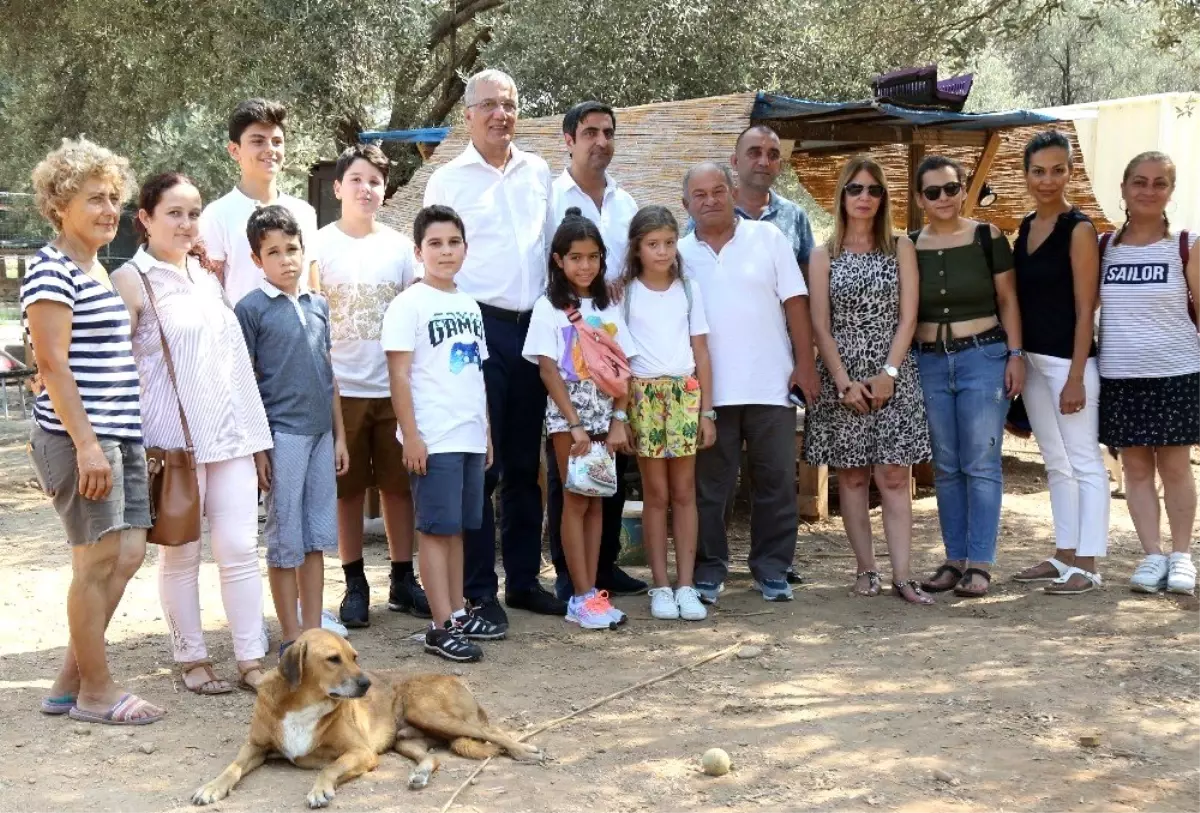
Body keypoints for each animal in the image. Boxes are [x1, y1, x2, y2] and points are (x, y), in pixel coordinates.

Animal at [190, 628, 540, 810]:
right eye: (333, 659)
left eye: (355, 657)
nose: (367, 684)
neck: (305, 703)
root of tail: (455, 679)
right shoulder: (255, 747)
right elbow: (232, 768)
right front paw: (211, 787)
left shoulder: (361, 752)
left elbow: (330, 767)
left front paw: (320, 790)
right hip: (406, 739)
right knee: (433, 758)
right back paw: (419, 774)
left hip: (429, 712)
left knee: (494, 731)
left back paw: (525, 750)